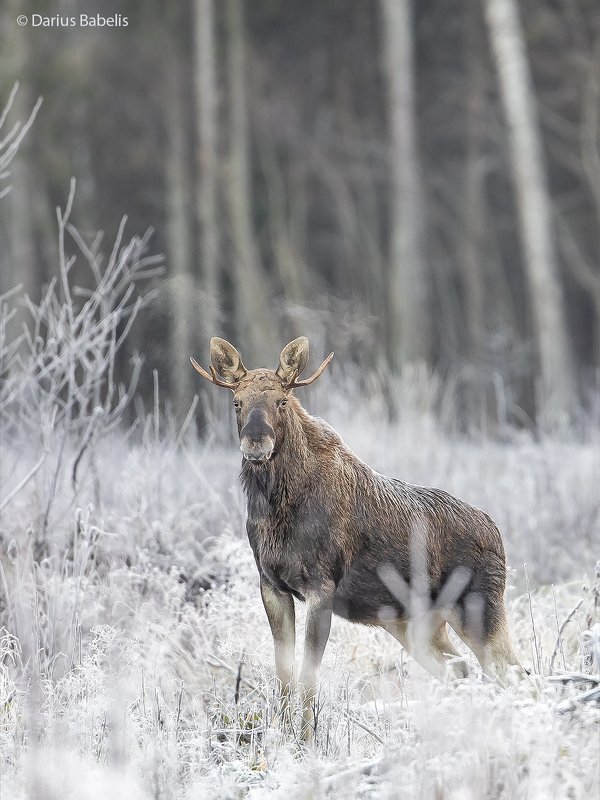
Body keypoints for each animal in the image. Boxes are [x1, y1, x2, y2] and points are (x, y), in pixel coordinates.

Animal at [190, 336, 523, 741]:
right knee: (460, 670)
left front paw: (306, 740)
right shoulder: (271, 584)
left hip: (480, 607)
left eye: (282, 401)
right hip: (418, 624)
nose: (256, 444)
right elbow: (283, 674)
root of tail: (496, 532)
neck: (276, 510)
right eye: (237, 401)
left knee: (514, 673)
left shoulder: (321, 586)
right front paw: (282, 736)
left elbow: (308, 676)